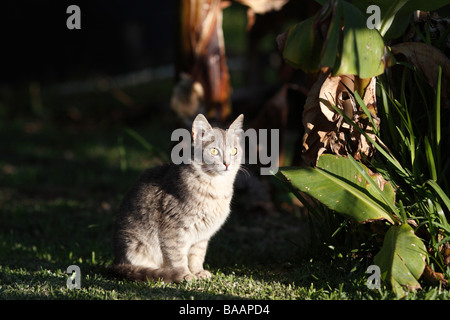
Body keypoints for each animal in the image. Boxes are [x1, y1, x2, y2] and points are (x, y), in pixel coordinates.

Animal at [110, 113, 244, 282]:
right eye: (214, 151)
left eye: (234, 150)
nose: (227, 164)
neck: (216, 189)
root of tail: (117, 261)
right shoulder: (173, 231)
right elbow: (177, 257)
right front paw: (185, 274)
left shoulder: (201, 237)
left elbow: (197, 256)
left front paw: (198, 271)